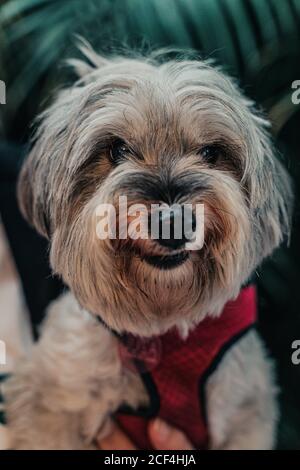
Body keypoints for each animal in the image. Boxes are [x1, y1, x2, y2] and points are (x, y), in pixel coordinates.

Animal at [1, 42, 292, 450]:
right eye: (116, 150)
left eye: (210, 153)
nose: (172, 223)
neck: (161, 328)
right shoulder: (50, 401)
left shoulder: (245, 414)